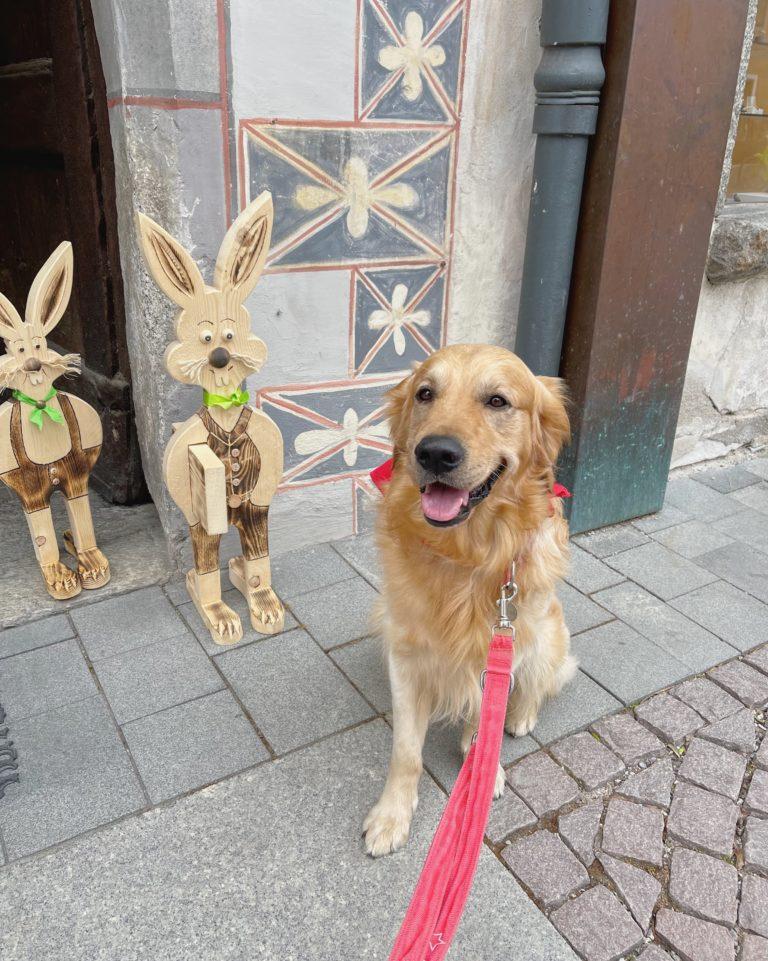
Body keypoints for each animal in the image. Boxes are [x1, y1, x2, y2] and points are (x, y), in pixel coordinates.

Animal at [364, 340, 572, 856]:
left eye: (497, 401)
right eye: (425, 393)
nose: (436, 452)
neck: (463, 555)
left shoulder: (498, 646)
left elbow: (483, 718)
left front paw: (481, 767)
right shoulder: (405, 654)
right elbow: (405, 751)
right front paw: (392, 814)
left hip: (547, 634)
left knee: (540, 683)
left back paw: (521, 715)